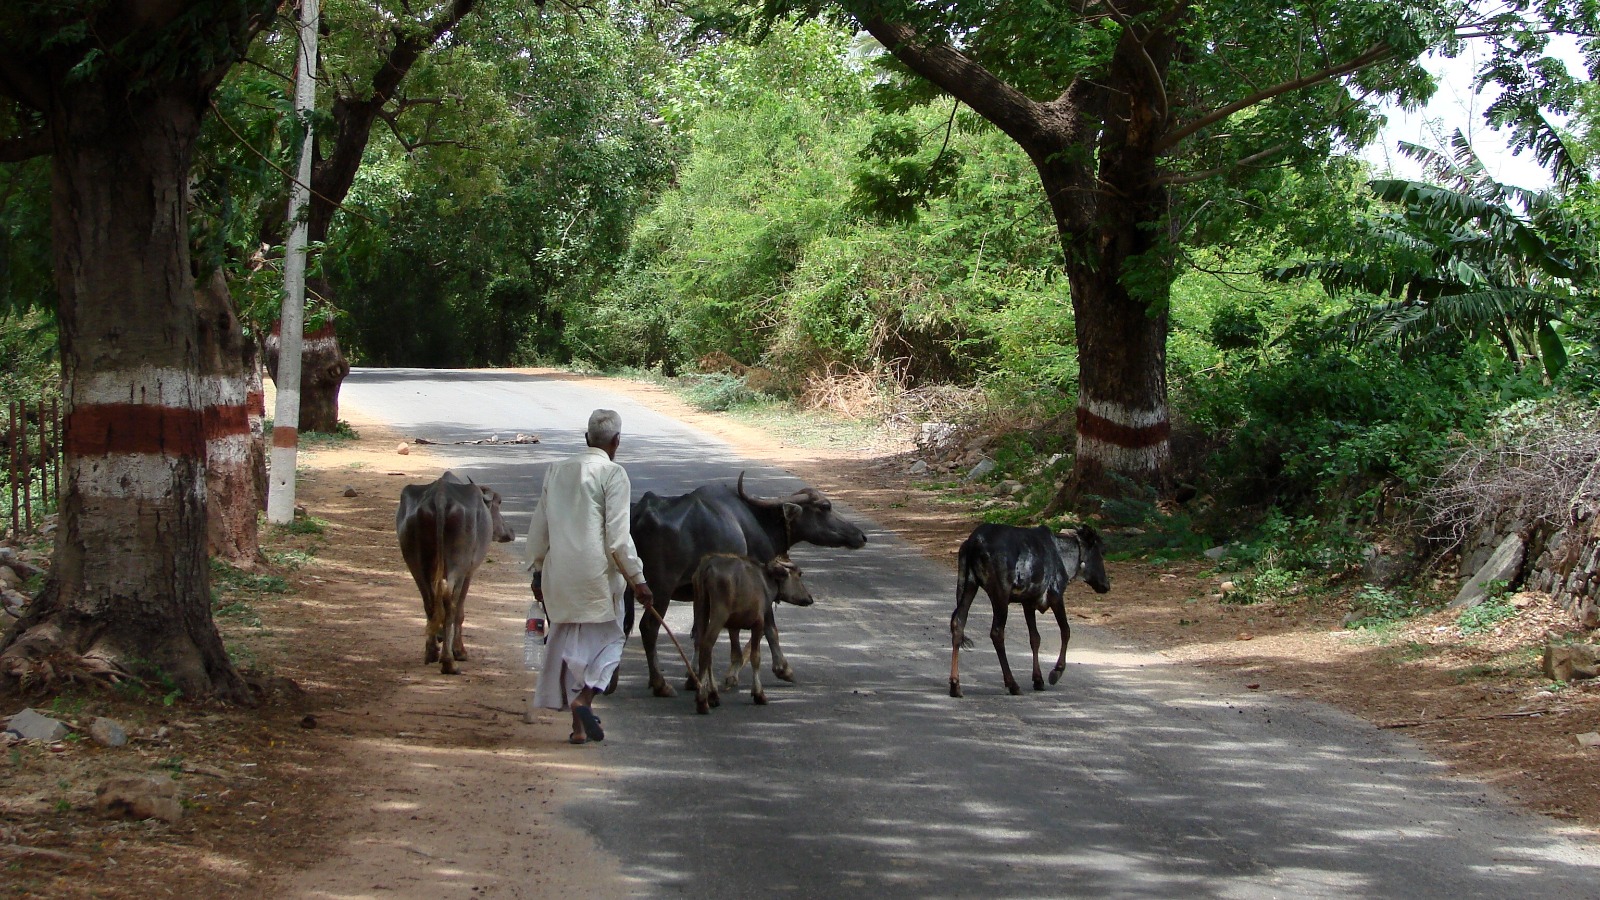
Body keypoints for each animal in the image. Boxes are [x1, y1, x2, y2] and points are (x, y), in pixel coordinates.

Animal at [396, 471, 515, 675]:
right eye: (499, 502)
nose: (510, 532)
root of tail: (440, 496)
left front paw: (439, 636)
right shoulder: (469, 572)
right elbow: (460, 610)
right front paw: (459, 651)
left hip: (415, 563)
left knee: (430, 601)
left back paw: (431, 652)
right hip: (458, 565)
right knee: (449, 600)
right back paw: (449, 661)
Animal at [628, 472, 868, 697]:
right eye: (825, 506)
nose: (862, 536)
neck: (759, 522)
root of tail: (640, 513)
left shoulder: (703, 595)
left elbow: (700, 631)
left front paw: (695, 676)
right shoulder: (762, 587)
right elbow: (768, 628)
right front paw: (782, 669)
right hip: (660, 589)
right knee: (648, 627)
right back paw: (660, 684)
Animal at [690, 554, 814, 714]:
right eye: (799, 574)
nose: (809, 598)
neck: (765, 581)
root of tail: (707, 567)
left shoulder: (734, 626)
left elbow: (737, 654)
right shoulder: (758, 624)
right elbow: (756, 656)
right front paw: (759, 694)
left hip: (700, 609)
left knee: (701, 644)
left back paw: (712, 695)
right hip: (718, 615)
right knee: (707, 645)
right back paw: (702, 700)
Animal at [949, 523, 1110, 697]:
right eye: (1100, 552)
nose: (1106, 585)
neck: (1064, 557)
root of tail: (973, 542)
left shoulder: (1028, 602)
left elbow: (1035, 638)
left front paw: (1038, 679)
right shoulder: (1056, 595)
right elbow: (1065, 631)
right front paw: (1056, 671)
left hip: (969, 584)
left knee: (958, 624)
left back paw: (955, 685)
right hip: (1000, 594)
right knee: (997, 633)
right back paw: (1012, 684)